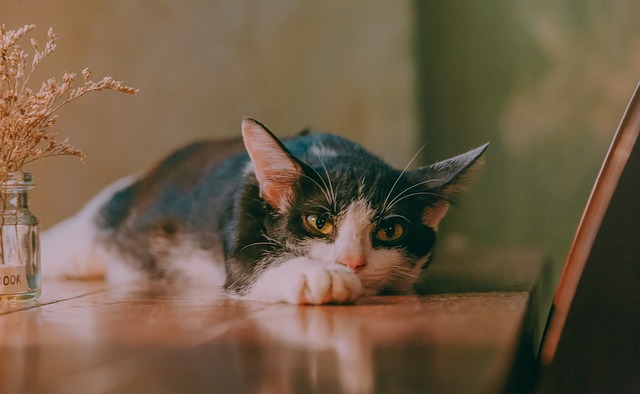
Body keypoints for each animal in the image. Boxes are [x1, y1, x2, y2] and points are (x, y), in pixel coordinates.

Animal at [42, 118, 488, 306]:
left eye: (391, 232)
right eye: (318, 222)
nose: (351, 263)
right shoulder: (244, 202)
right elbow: (251, 262)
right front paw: (318, 276)